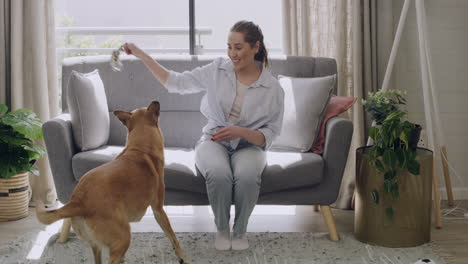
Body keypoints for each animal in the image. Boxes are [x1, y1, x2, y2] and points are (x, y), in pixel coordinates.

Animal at [35, 101, 188, 264]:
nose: (156, 102)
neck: (140, 149)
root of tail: (78, 201)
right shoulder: (158, 209)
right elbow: (173, 237)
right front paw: (183, 257)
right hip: (123, 238)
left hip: (96, 246)